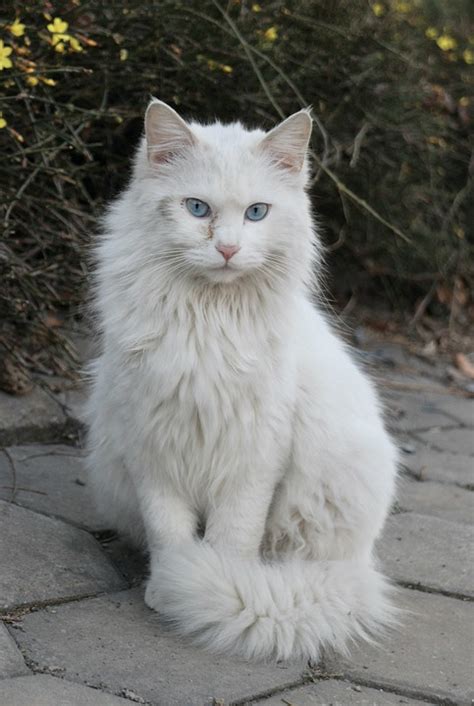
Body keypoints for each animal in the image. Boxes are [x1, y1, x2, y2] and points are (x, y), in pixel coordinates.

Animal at [87, 99, 398, 660]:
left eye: (257, 213)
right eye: (197, 209)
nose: (228, 249)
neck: (207, 318)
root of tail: (360, 562)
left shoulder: (255, 456)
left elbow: (232, 537)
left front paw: (208, 583)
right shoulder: (151, 446)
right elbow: (169, 532)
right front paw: (172, 585)